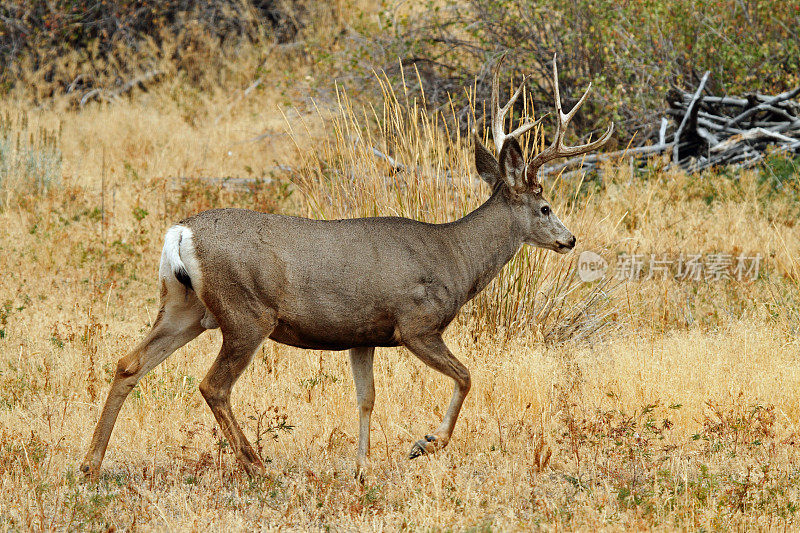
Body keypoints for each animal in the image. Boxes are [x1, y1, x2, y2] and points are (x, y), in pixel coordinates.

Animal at [79, 56, 612, 480]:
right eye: (545, 207)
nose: (569, 239)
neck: (456, 257)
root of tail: (181, 233)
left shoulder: (362, 334)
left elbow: (366, 397)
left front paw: (361, 467)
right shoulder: (415, 324)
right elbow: (466, 377)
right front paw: (425, 444)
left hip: (185, 306)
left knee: (128, 363)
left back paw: (91, 463)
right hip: (246, 313)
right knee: (214, 384)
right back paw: (257, 466)